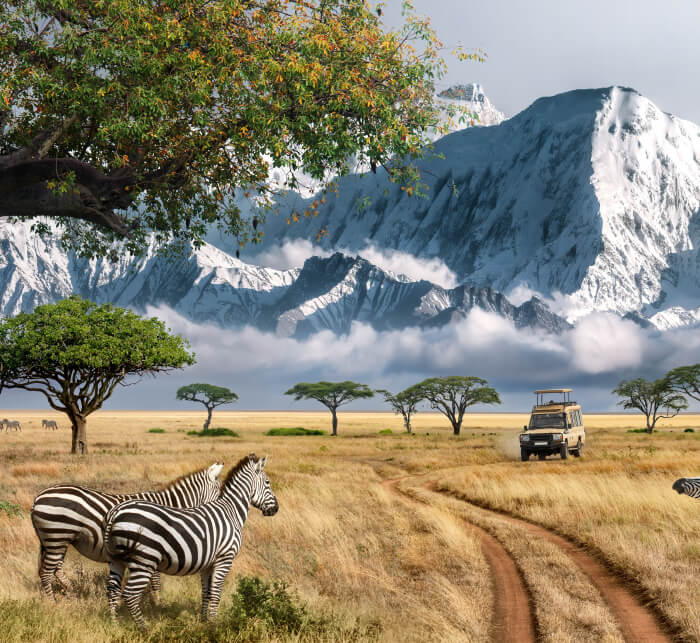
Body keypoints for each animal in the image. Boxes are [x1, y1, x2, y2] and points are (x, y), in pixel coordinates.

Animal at [31, 462, 224, 599]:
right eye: (219, 491)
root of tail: (38, 498)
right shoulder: (153, 547)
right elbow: (155, 581)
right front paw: (157, 601)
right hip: (57, 536)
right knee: (46, 572)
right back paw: (53, 603)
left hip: (56, 540)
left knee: (55, 569)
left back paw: (71, 592)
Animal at [103, 453, 278, 628]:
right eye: (268, 483)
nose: (276, 509)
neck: (231, 511)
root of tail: (116, 511)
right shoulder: (225, 559)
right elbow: (216, 594)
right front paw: (215, 625)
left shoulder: (208, 563)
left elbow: (206, 593)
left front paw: (204, 621)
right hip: (144, 560)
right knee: (130, 594)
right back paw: (144, 628)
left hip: (117, 559)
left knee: (112, 590)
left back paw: (115, 625)